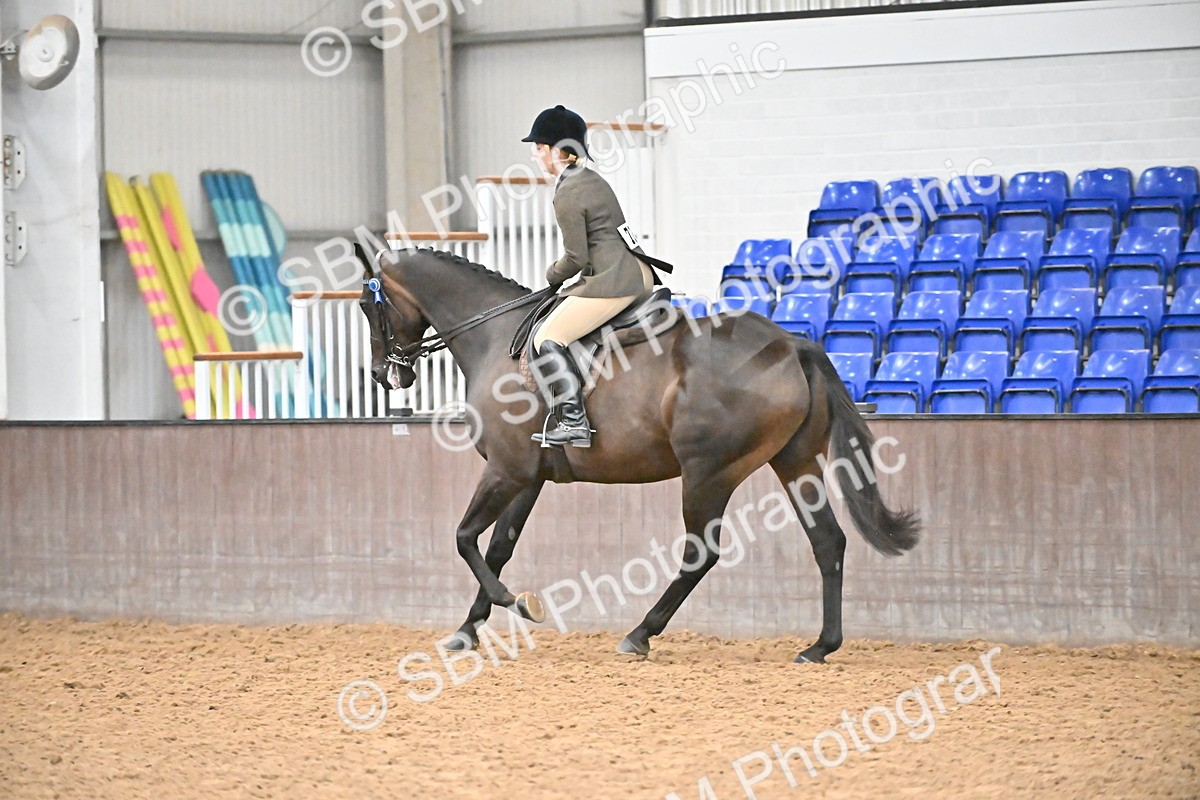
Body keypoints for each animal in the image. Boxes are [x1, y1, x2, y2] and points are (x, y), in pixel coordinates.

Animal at [355, 245, 919, 663]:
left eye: (366, 306)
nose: (385, 375)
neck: (493, 336)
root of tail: (792, 345)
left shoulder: (505, 469)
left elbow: (464, 538)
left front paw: (518, 603)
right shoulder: (527, 475)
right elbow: (496, 547)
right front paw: (468, 629)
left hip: (708, 474)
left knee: (701, 553)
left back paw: (640, 634)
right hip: (796, 464)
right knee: (828, 542)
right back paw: (820, 646)